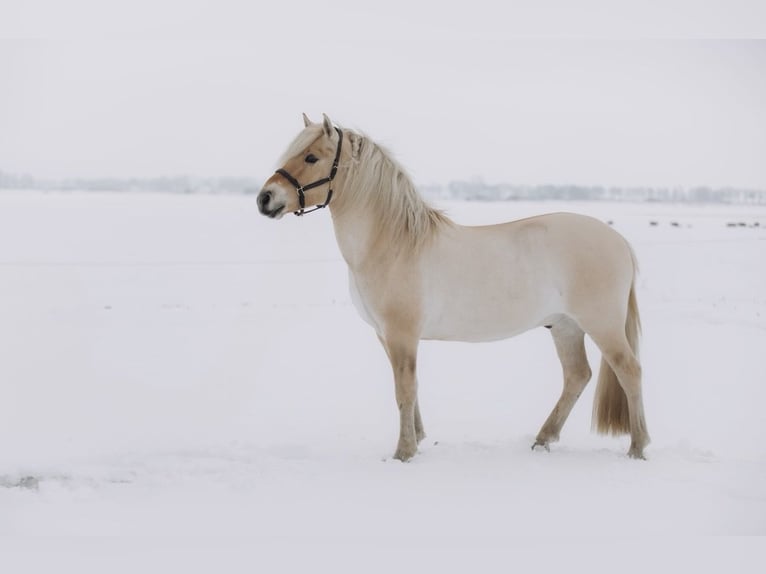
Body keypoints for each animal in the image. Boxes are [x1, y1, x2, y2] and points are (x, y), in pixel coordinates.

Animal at [257, 113, 649, 461]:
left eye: (311, 157)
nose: (265, 198)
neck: (394, 244)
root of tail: (618, 240)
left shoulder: (402, 334)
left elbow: (404, 389)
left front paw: (403, 453)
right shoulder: (386, 335)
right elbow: (409, 389)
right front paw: (418, 439)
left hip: (602, 325)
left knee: (629, 371)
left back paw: (637, 447)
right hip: (565, 326)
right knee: (577, 376)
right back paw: (542, 440)